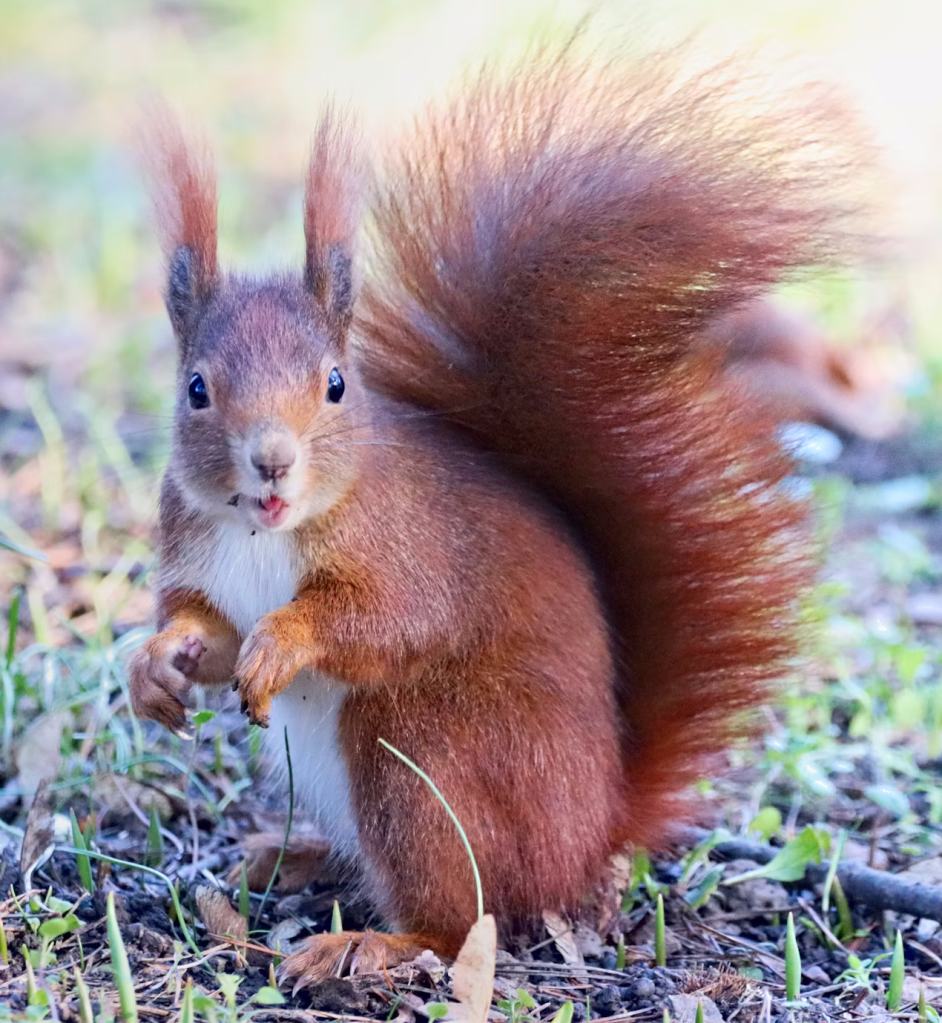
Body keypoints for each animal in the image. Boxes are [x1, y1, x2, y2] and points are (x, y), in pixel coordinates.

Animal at [129, 39, 859, 987]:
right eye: (195, 389)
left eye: (336, 383)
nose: (273, 462)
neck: (265, 531)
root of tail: (595, 830)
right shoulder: (201, 551)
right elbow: (208, 633)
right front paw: (156, 664)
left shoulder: (410, 548)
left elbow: (391, 619)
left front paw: (285, 640)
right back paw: (293, 857)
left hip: (430, 747)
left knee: (463, 917)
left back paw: (369, 941)